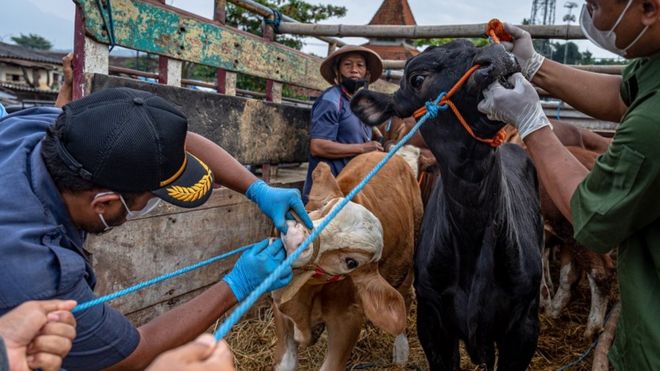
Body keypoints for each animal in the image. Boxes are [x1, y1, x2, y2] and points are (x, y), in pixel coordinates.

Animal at [272, 152, 422, 371]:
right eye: (325, 207)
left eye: (351, 263)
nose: (295, 237)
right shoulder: (280, 306)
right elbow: (286, 364)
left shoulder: (348, 320)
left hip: (408, 260)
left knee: (406, 297)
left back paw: (401, 353)